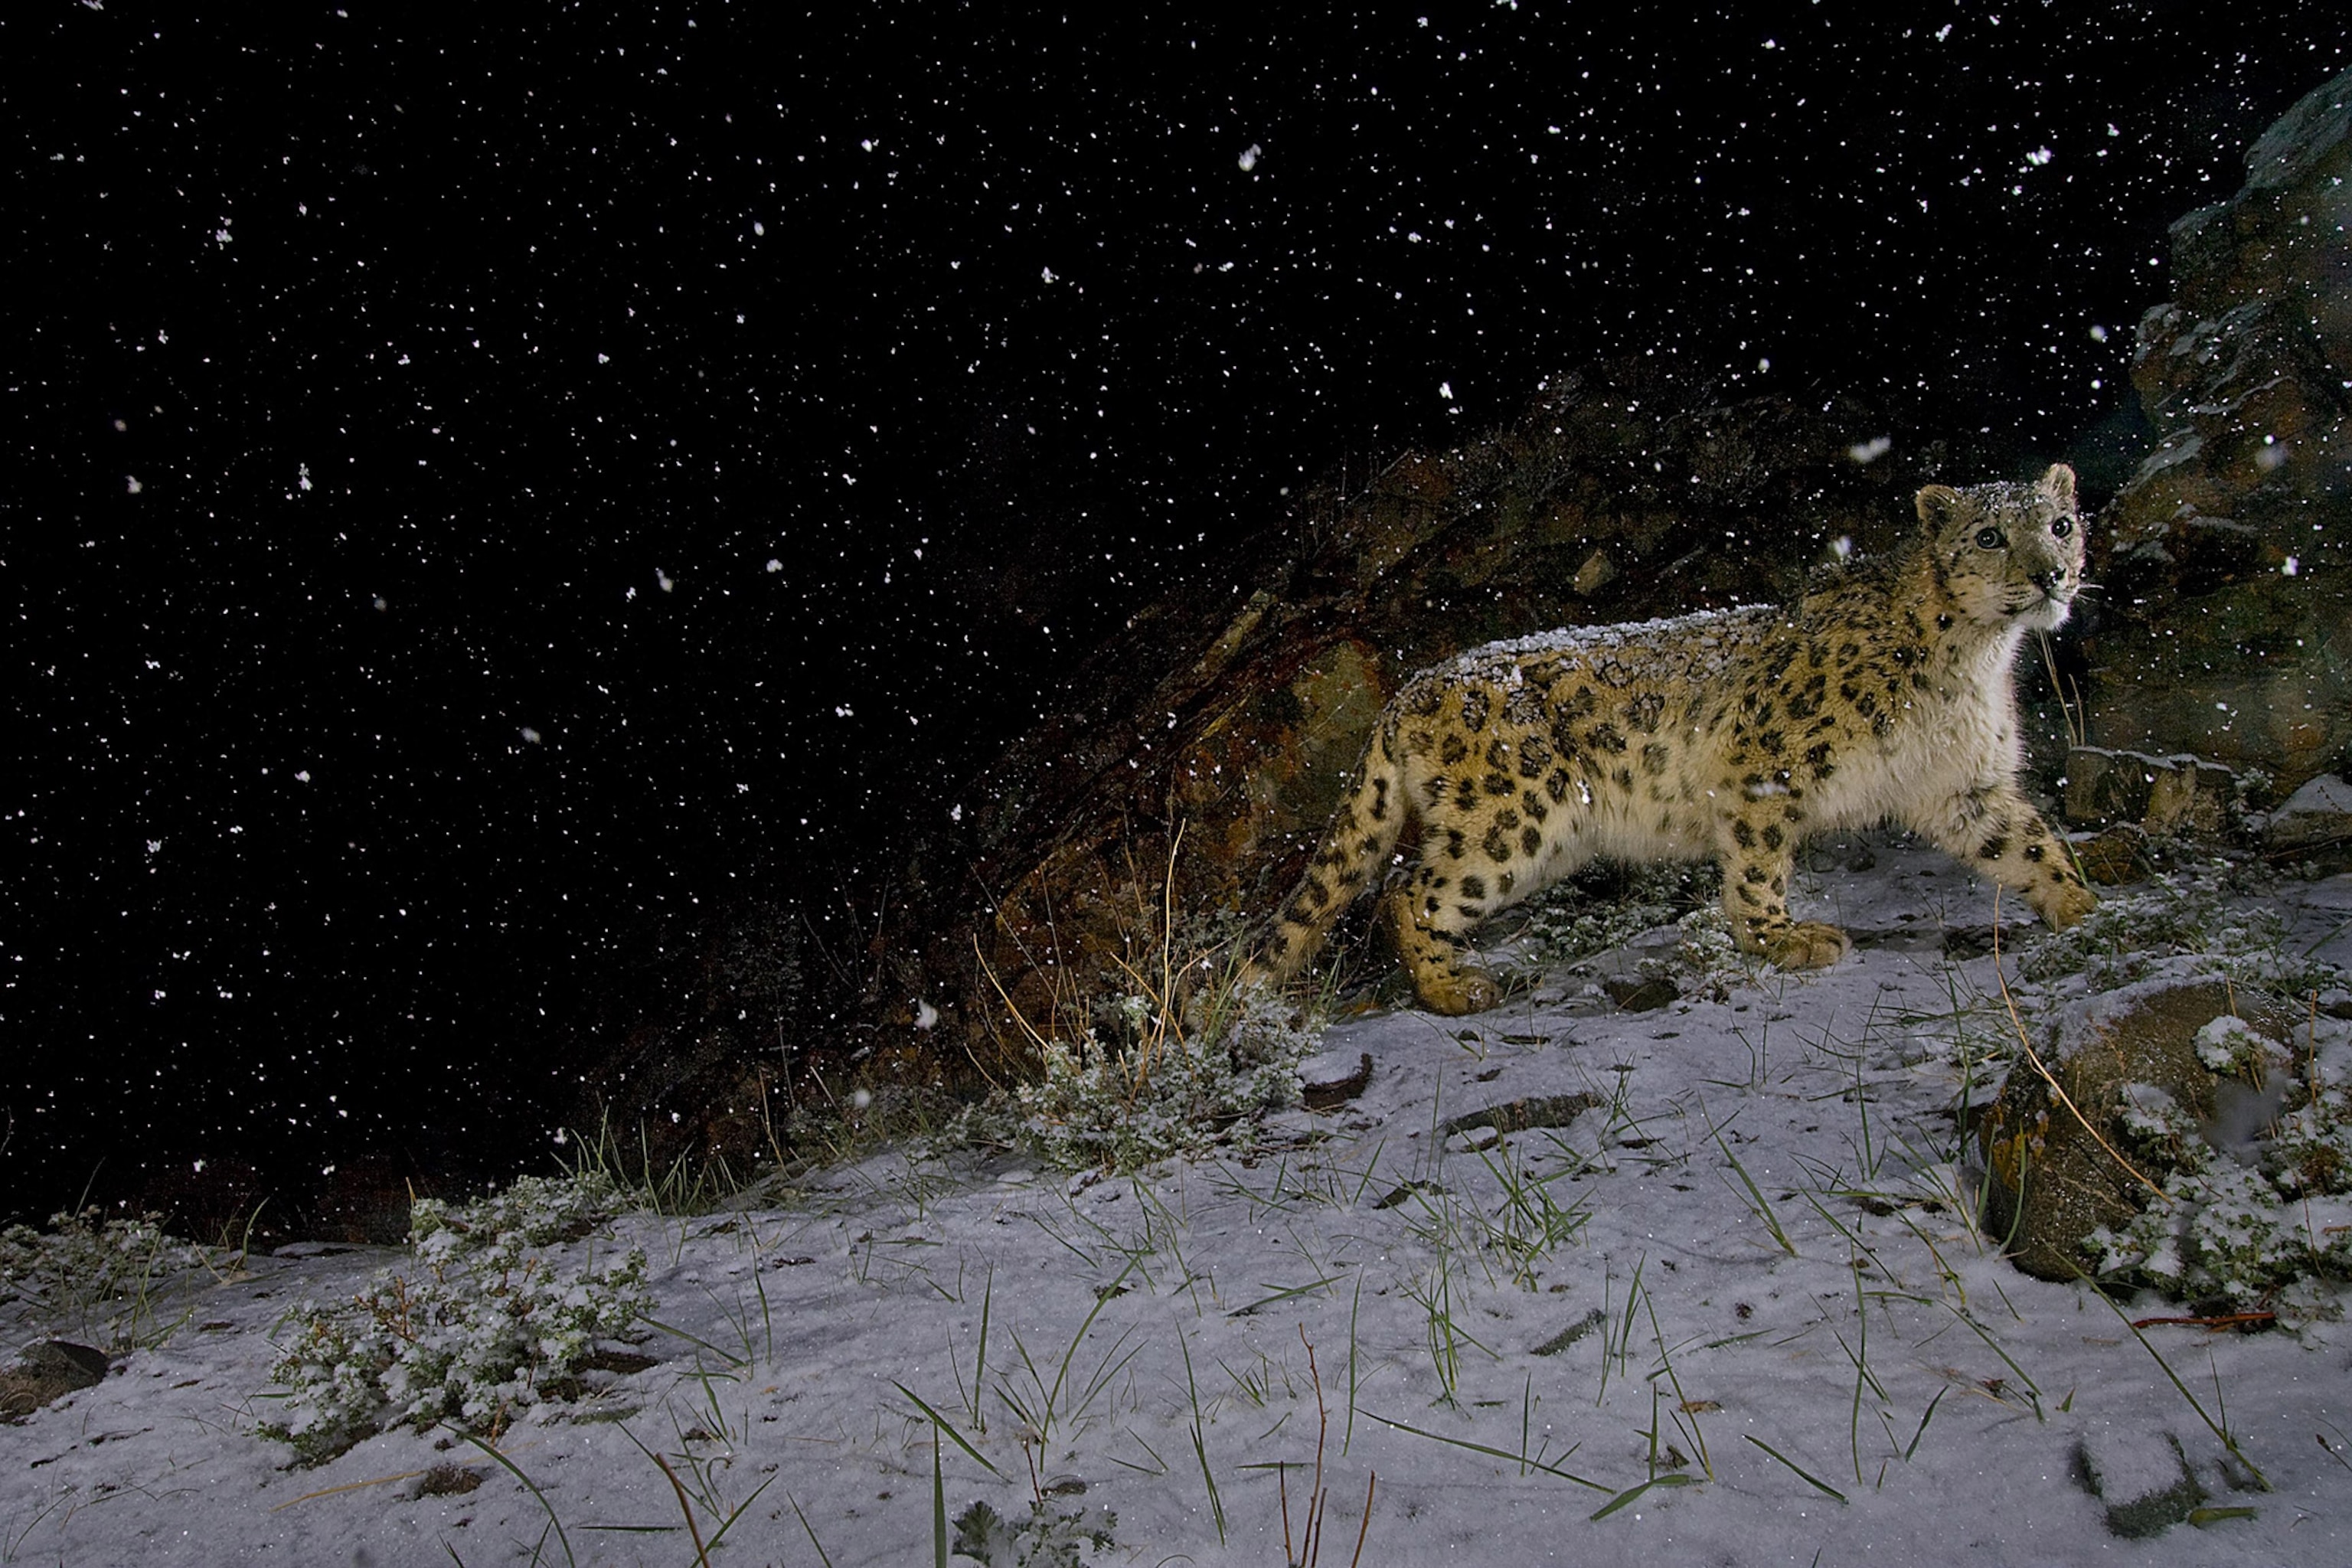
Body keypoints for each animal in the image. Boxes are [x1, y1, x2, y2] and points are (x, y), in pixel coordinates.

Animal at [1247, 463, 2097, 1015]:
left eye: (2060, 524)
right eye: (1989, 536)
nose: (2051, 573)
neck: (1976, 660)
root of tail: (1411, 688)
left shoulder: (1961, 785)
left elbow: (2028, 843)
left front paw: (2086, 908)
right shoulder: (1763, 765)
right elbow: (1757, 865)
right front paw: (1781, 939)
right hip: (1516, 820)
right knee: (1406, 891)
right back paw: (1454, 989)